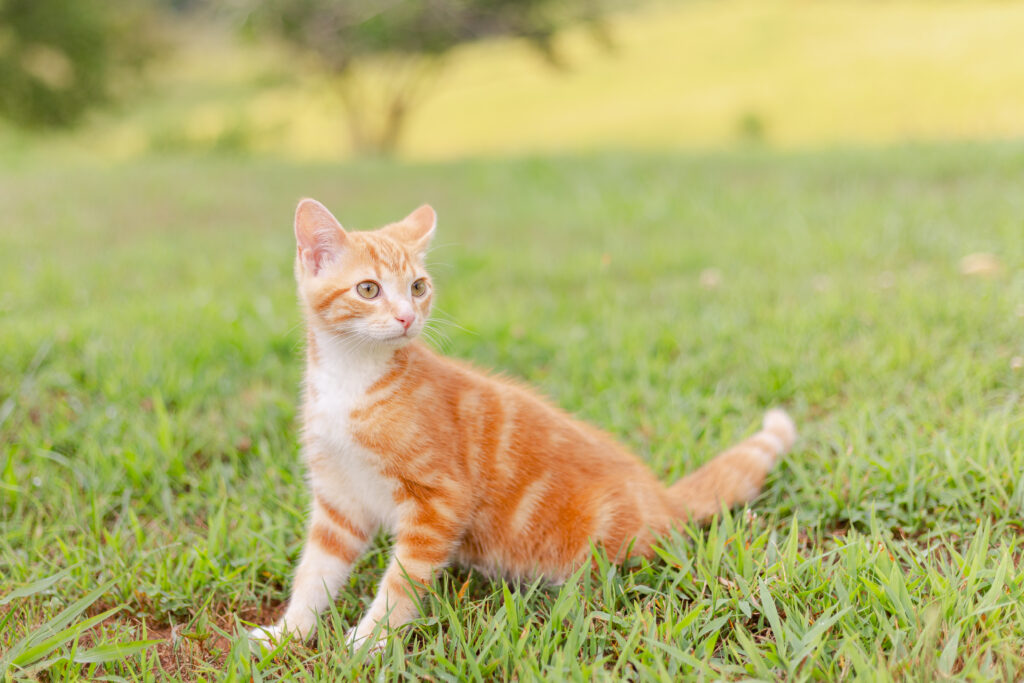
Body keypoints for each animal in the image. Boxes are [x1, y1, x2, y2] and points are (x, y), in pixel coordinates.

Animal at [249, 198, 798, 651]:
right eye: (368, 289)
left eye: (418, 287)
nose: (407, 317)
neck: (352, 380)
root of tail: (661, 497)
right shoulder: (337, 500)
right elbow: (315, 572)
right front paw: (287, 632)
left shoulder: (438, 501)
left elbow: (401, 582)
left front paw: (371, 642)